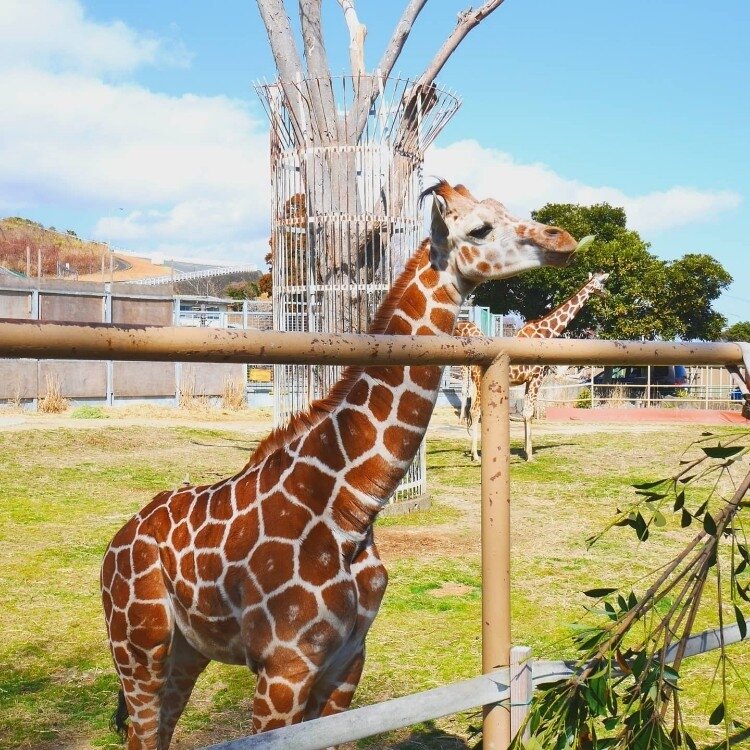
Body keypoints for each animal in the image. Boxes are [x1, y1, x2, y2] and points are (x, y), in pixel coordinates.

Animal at [101, 182, 580, 750]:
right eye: (479, 228)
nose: (561, 239)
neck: (350, 510)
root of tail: (114, 545)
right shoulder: (284, 668)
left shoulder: (348, 660)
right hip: (139, 645)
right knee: (141, 729)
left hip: (187, 650)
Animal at [458, 274, 612, 462]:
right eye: (603, 282)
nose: (607, 293)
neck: (545, 332)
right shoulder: (537, 377)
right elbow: (529, 413)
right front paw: (530, 455)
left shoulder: (528, 379)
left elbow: (526, 412)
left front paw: (525, 450)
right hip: (481, 383)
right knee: (475, 411)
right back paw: (476, 455)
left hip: (475, 382)